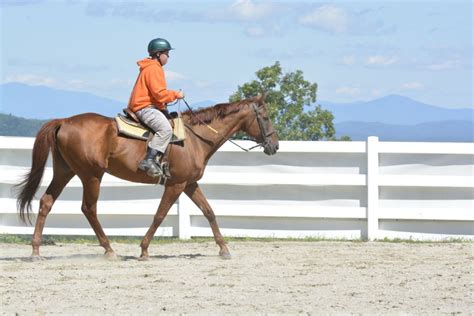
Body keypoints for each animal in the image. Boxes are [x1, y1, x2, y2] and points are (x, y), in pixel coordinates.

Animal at [14, 95, 280, 260]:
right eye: (266, 117)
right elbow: (160, 215)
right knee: (88, 208)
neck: (195, 138)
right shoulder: (176, 185)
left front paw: (223, 248)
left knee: (46, 202)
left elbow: (209, 212)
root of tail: (64, 122)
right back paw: (109, 249)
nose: (275, 145)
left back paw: (36, 251)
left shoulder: (190, 184)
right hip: (91, 176)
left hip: (65, 172)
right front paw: (143, 250)